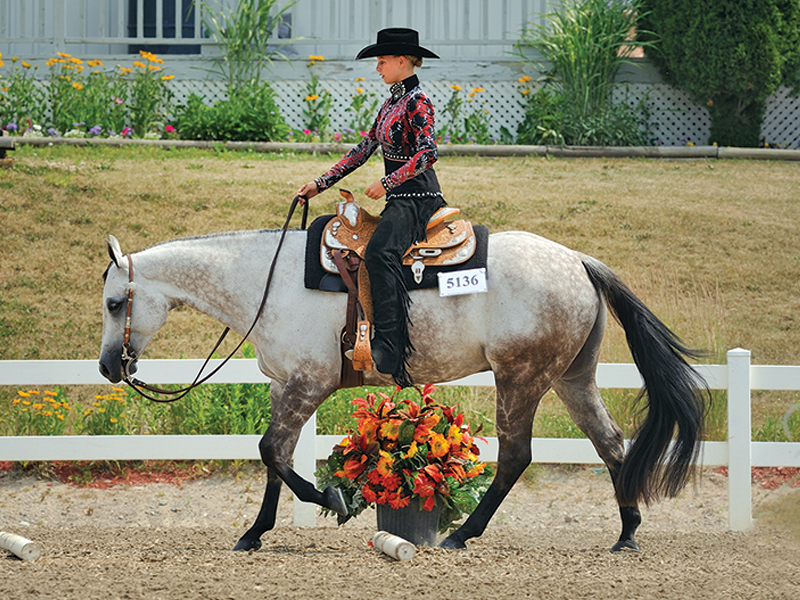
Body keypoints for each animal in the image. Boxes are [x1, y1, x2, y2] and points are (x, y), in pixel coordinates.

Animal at [98, 229, 708, 552]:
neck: (266, 283)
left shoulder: (308, 384)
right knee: (611, 444)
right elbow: (277, 457)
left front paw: (333, 500)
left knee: (516, 455)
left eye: (114, 302)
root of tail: (578, 261)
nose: (108, 366)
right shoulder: (283, 387)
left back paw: (463, 534)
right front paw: (255, 533)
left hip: (521, 378)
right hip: (572, 378)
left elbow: (272, 451)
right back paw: (626, 533)